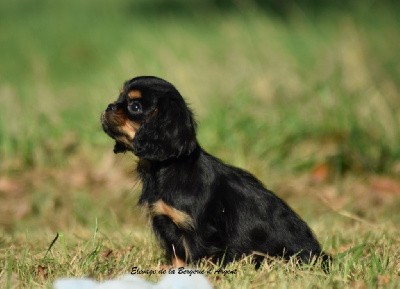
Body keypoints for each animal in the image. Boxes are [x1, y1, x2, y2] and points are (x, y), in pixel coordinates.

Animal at [101, 75, 328, 266]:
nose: (109, 106)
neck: (167, 168)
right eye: (119, 97)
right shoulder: (168, 228)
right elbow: (177, 259)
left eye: (135, 106)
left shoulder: (198, 232)